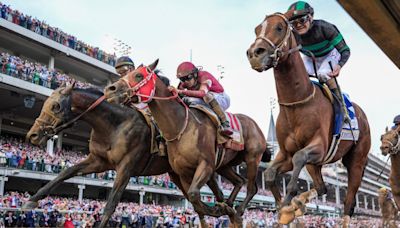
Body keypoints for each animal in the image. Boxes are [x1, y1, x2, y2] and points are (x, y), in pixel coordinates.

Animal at [25, 83, 225, 228]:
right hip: (178, 174)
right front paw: (32, 200)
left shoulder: (125, 167)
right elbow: (66, 172)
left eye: (56, 106)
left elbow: (111, 203)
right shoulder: (98, 161)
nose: (33, 135)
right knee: (198, 202)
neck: (114, 125)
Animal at [104, 61, 270, 227]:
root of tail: (255, 125)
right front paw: (222, 208)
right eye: (125, 74)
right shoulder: (183, 172)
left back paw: (238, 209)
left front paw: (220, 209)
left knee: (252, 188)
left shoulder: (206, 165)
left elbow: (194, 195)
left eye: (138, 75)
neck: (181, 126)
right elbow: (194, 199)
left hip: (252, 158)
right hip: (224, 164)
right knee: (240, 181)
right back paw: (230, 206)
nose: (110, 89)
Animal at [247, 11, 372, 225]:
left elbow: (298, 161)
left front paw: (289, 202)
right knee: (322, 187)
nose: (255, 53)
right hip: (316, 165)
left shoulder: (318, 148)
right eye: (257, 29)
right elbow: (270, 174)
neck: (297, 103)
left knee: (347, 202)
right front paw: (284, 206)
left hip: (356, 161)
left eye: (279, 27)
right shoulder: (286, 153)